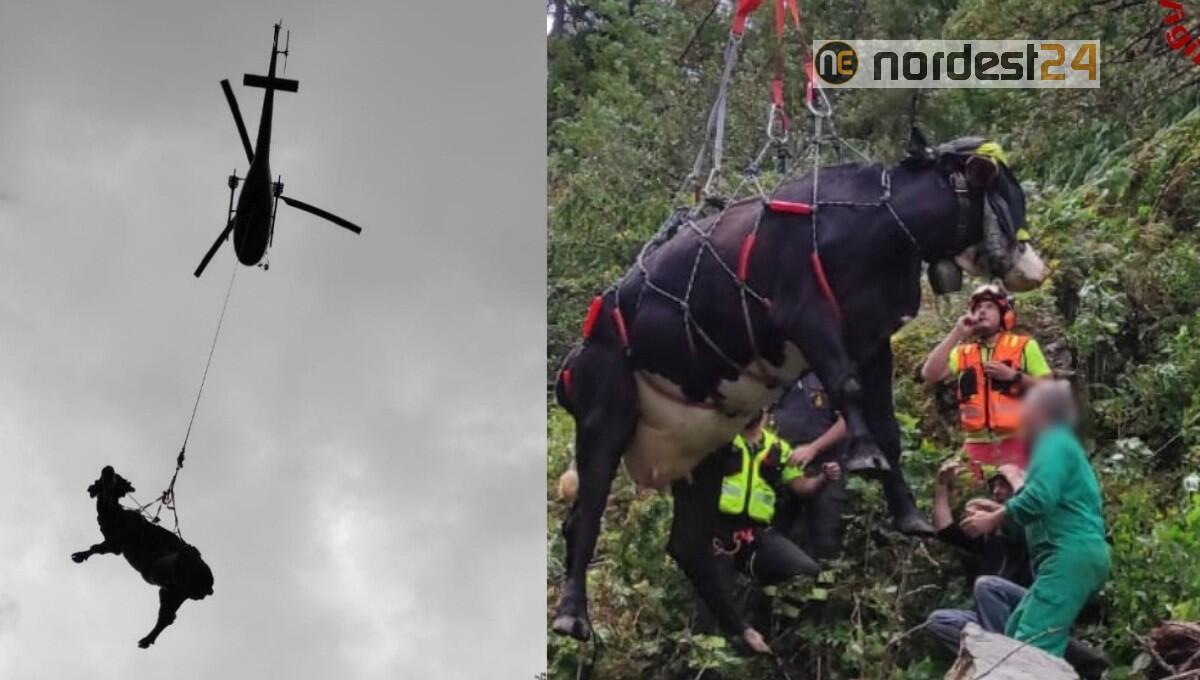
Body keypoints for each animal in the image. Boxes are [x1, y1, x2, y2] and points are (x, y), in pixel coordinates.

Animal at [550, 129, 1048, 648]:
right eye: (1009, 195)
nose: (1036, 269)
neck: (883, 223)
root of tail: (577, 355)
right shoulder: (806, 316)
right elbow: (847, 388)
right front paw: (865, 454)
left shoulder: (872, 337)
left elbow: (887, 422)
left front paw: (909, 512)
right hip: (605, 408)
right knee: (584, 515)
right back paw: (572, 617)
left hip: (704, 445)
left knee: (687, 544)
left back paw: (745, 634)